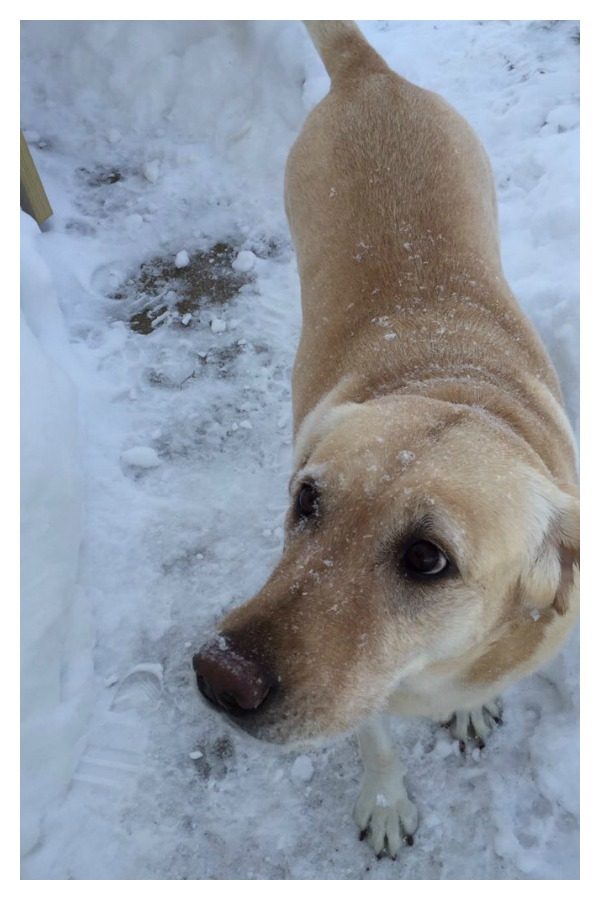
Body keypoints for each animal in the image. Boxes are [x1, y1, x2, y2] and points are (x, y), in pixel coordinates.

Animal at [192, 22, 576, 856]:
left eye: (427, 559)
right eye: (305, 500)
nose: (218, 674)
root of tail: (370, 74)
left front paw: (468, 708)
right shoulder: (364, 700)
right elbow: (374, 738)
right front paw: (387, 799)